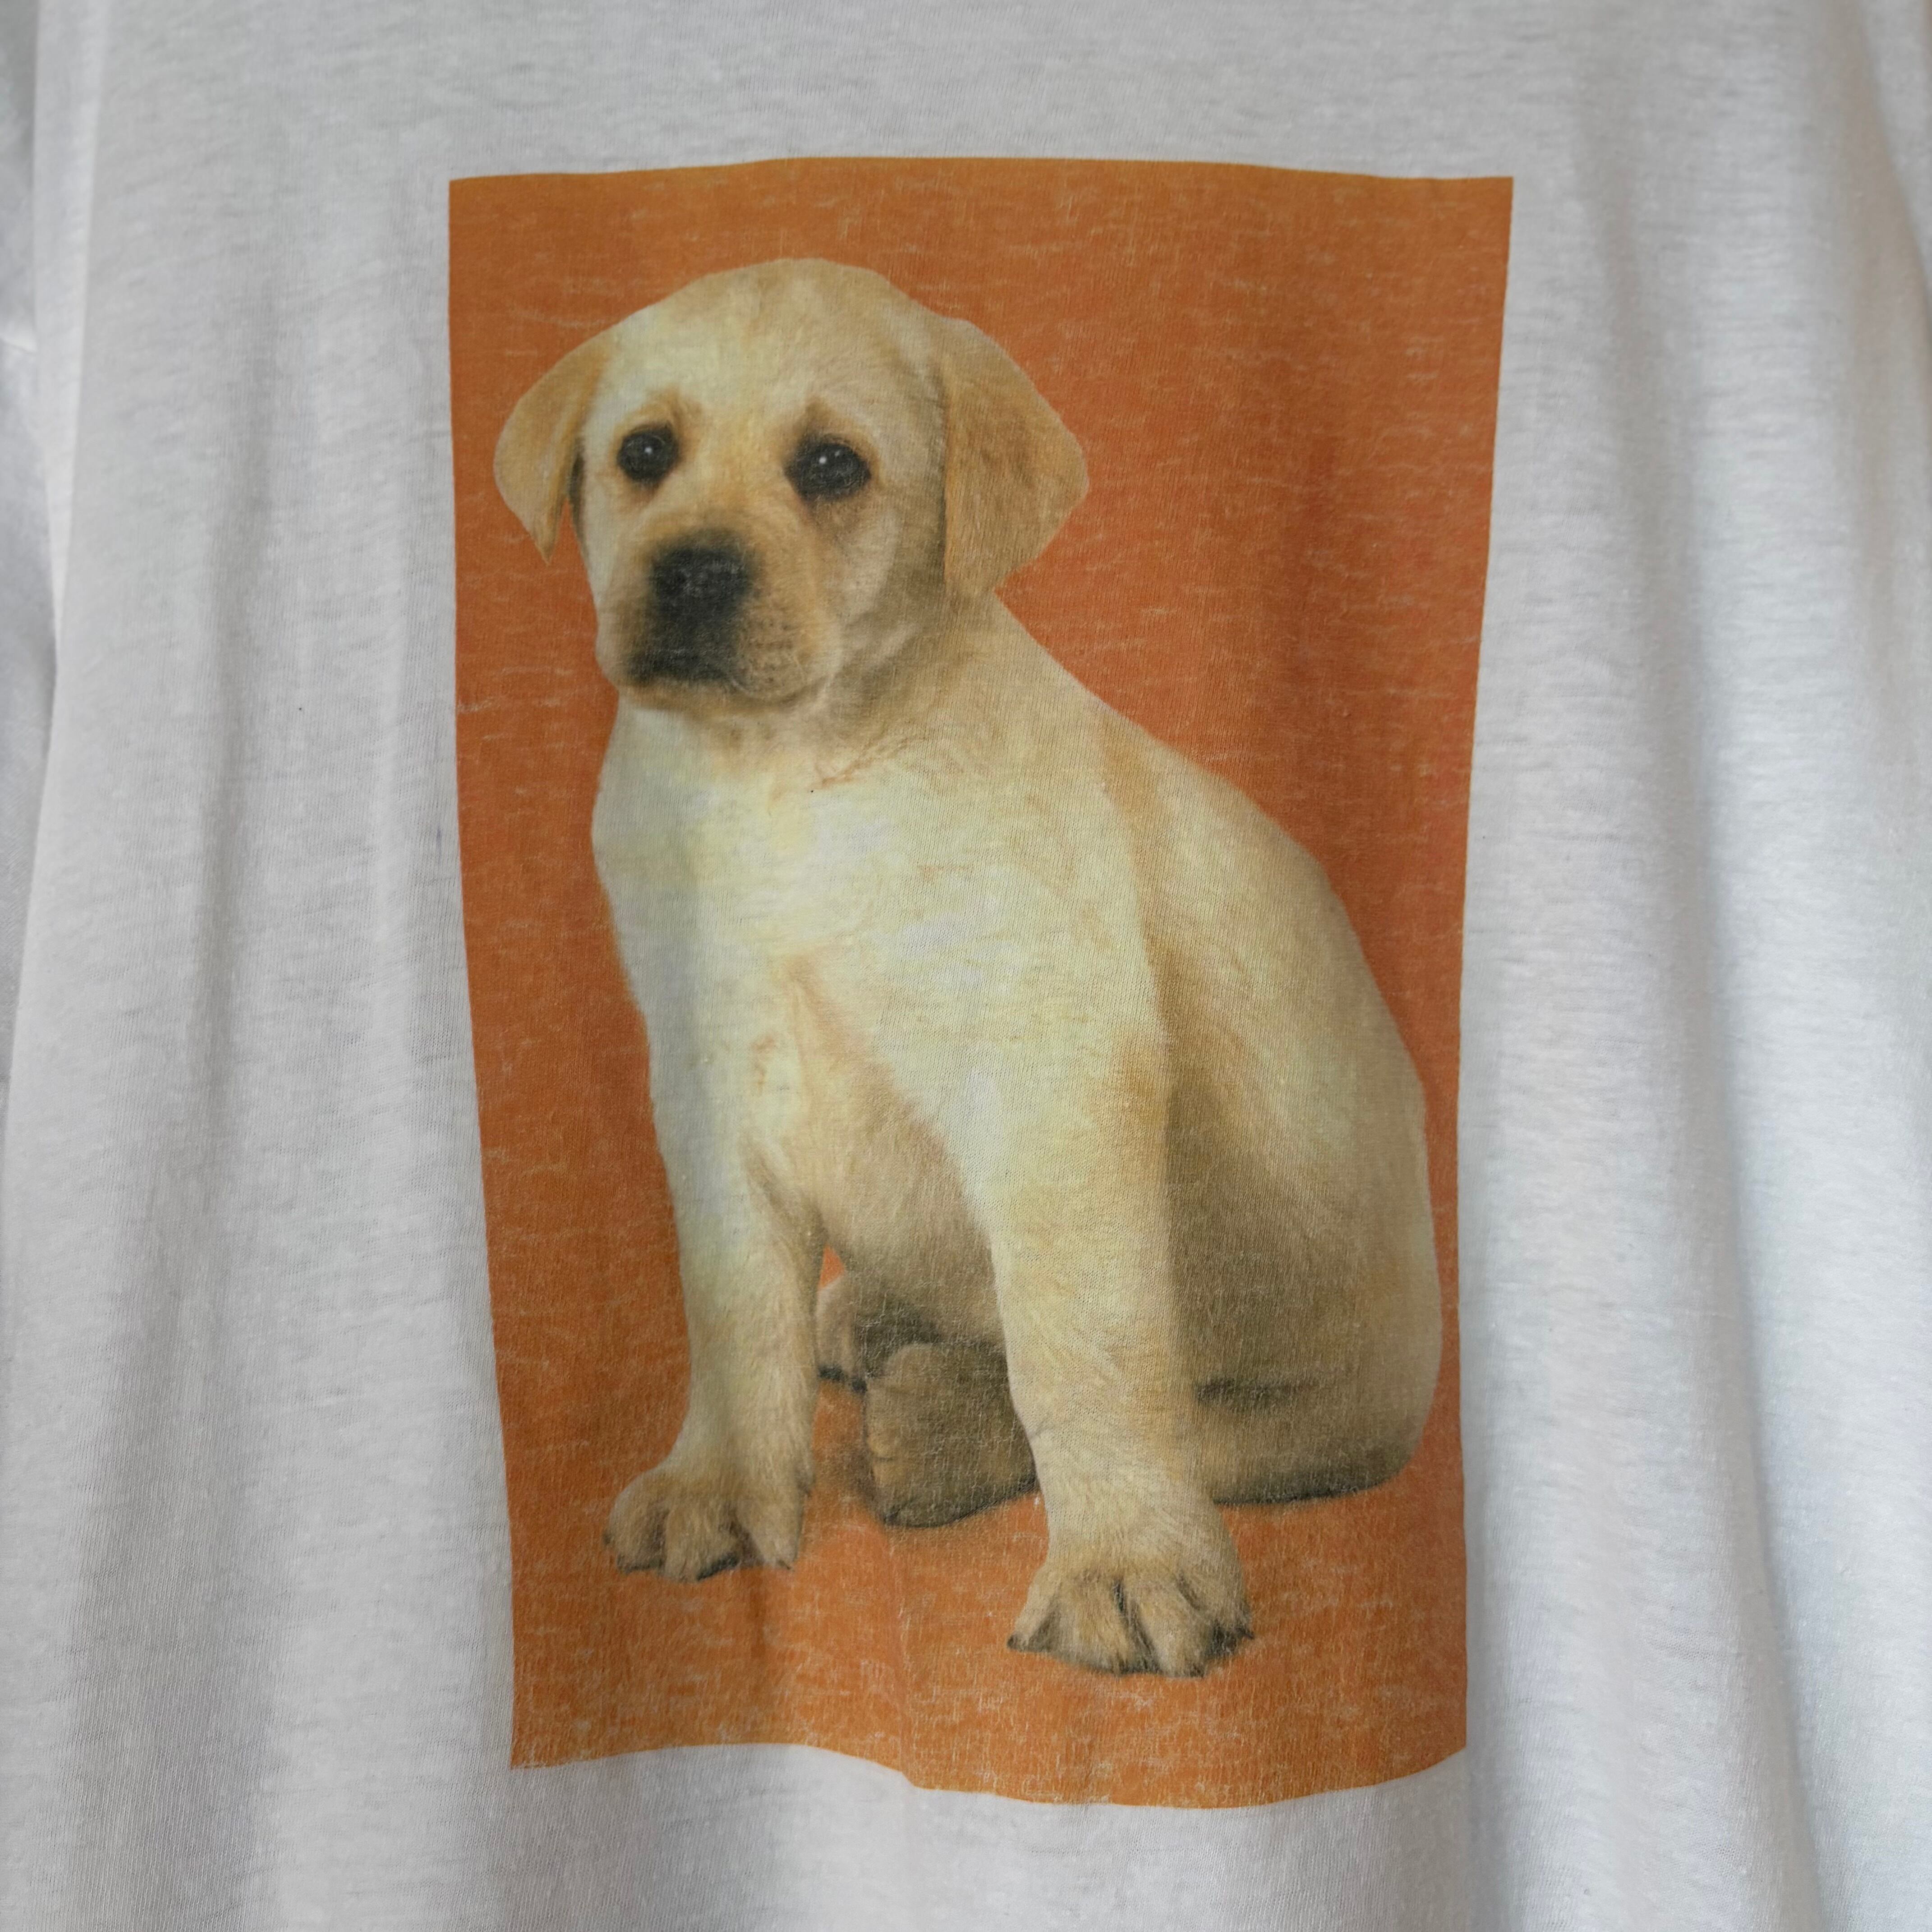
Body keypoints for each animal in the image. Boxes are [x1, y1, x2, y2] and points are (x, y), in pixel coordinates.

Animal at [494, 259, 1441, 1677]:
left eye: (831, 466)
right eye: (643, 455)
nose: (692, 573)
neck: (792, 776)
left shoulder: (1052, 1084)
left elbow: (1082, 1351)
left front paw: (1122, 1567)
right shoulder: (708, 1085)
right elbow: (733, 1310)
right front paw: (721, 1482)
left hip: (1345, 1390)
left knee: (1195, 1419)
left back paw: (937, 1432)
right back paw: (871, 1323)